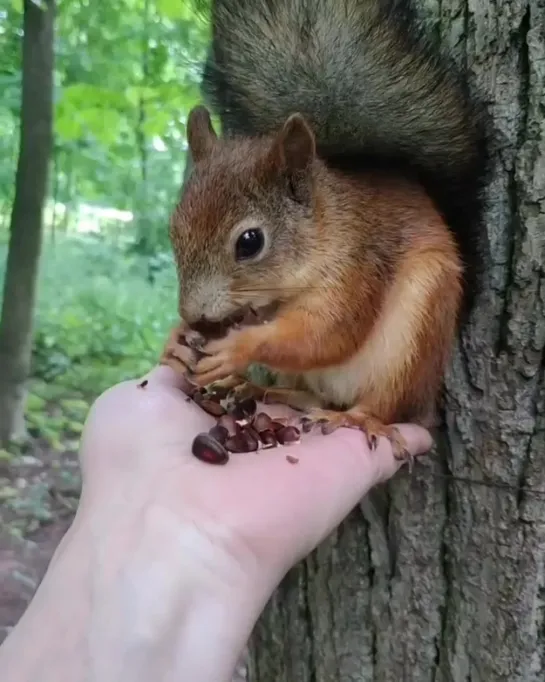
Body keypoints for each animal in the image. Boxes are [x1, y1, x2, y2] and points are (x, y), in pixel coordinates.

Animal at [158, 0, 492, 460]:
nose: (191, 314)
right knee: (309, 395)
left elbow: (326, 333)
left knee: (384, 403)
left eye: (250, 242)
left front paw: (236, 349)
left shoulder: (358, 265)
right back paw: (259, 389)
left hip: (416, 334)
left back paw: (356, 418)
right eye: (174, 229)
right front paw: (177, 343)